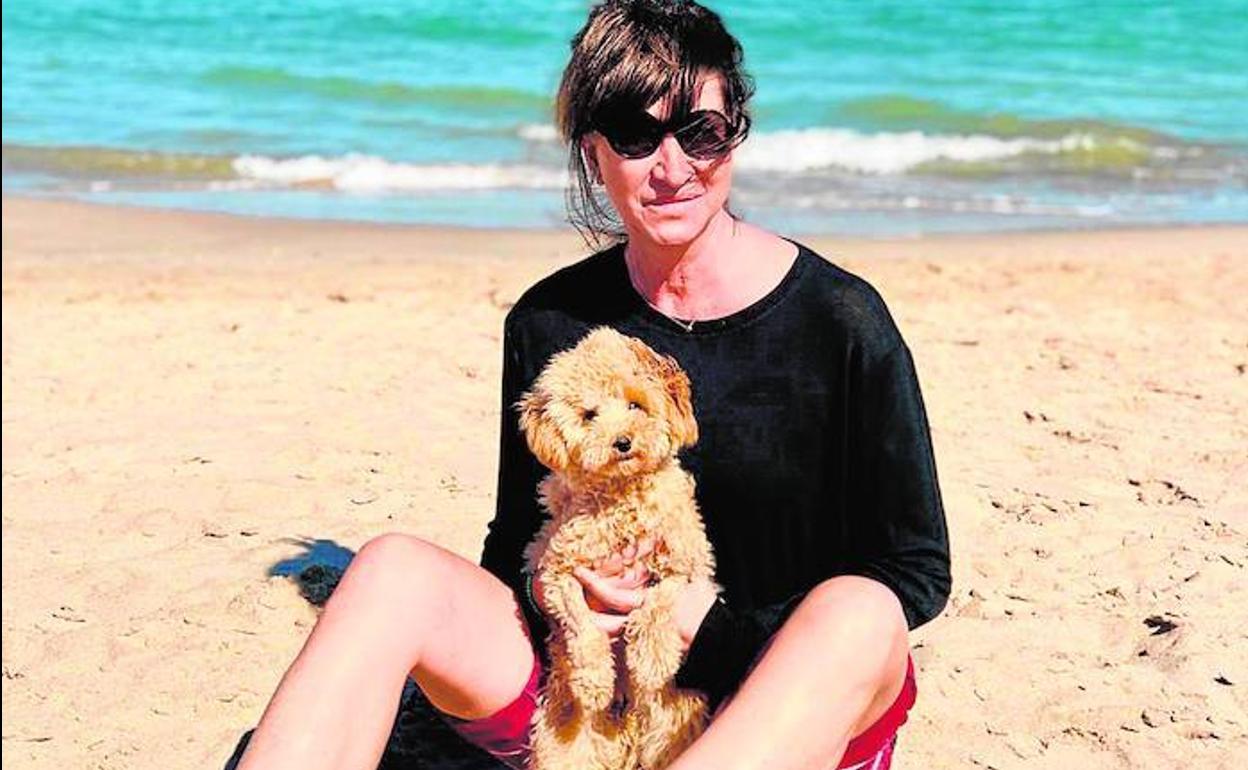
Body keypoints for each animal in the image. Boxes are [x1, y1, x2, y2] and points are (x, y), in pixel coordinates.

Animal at [516, 326, 713, 768]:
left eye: (635, 404)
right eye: (589, 415)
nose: (622, 442)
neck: (622, 498)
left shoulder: (687, 562)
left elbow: (658, 603)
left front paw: (651, 657)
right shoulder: (556, 571)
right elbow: (581, 625)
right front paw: (593, 678)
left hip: (672, 724)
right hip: (563, 741)